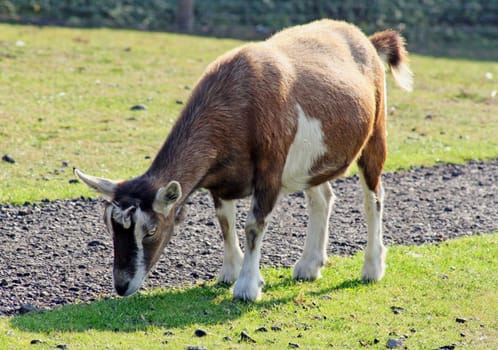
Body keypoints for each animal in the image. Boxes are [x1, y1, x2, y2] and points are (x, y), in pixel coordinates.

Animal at [76, 19, 414, 300]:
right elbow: (225, 223)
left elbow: (254, 225)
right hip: (312, 161)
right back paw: (309, 265)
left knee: (373, 197)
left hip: (375, 132)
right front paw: (230, 272)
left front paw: (247, 287)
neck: (236, 101)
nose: (122, 286)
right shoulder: (221, 181)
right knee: (322, 198)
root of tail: (367, 41)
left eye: (150, 231)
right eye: (110, 227)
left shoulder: (270, 173)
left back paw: (371, 268)